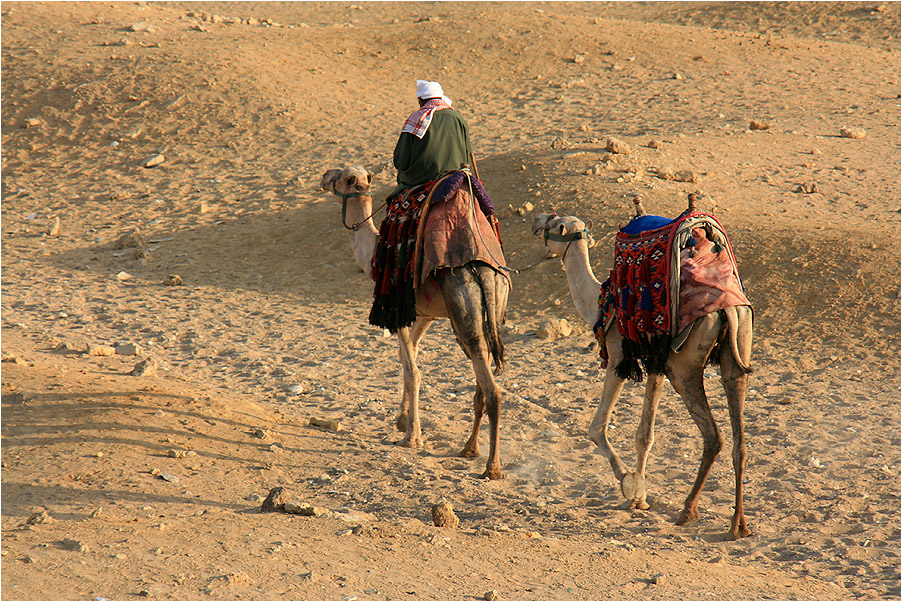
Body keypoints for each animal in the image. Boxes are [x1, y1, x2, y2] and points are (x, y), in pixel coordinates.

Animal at [322, 164, 512, 478]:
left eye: (341, 175)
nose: (324, 177)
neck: (371, 251)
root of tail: (483, 270)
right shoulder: (424, 313)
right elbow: (407, 356)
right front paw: (402, 421)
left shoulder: (396, 309)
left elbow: (413, 371)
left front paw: (411, 437)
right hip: (492, 308)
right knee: (482, 381)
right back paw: (469, 448)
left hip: (464, 311)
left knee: (492, 390)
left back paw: (491, 468)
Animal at [528, 197, 756, 540]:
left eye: (555, 224)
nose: (536, 221)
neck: (597, 303)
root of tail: (726, 308)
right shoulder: (656, 366)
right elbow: (645, 434)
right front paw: (641, 498)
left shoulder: (618, 358)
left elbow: (597, 427)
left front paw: (629, 485)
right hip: (736, 349)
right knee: (739, 441)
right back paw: (738, 524)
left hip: (685, 368)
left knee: (713, 436)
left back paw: (688, 511)